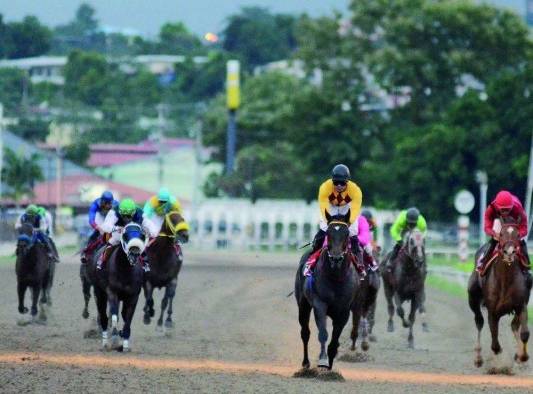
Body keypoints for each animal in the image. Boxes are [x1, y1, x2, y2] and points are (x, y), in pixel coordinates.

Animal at [92, 223, 144, 352]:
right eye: (125, 236)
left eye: (141, 236)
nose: (134, 253)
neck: (125, 270)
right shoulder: (112, 292)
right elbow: (114, 315)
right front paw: (115, 338)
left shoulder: (133, 296)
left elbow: (128, 319)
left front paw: (124, 344)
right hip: (99, 293)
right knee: (104, 317)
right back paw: (105, 343)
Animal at [294, 212, 360, 370]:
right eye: (328, 233)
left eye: (347, 233)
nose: (336, 258)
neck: (335, 277)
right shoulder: (320, 304)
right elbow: (323, 333)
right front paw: (323, 361)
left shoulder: (344, 310)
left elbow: (335, 340)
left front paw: (330, 366)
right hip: (303, 304)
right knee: (305, 332)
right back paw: (305, 363)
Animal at [468, 220, 528, 368]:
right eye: (501, 234)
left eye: (518, 234)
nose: (509, 252)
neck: (505, 278)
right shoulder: (493, 311)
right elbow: (495, 343)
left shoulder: (521, 305)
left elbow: (524, 333)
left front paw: (522, 356)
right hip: (473, 298)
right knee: (479, 321)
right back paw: (478, 358)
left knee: (514, 326)